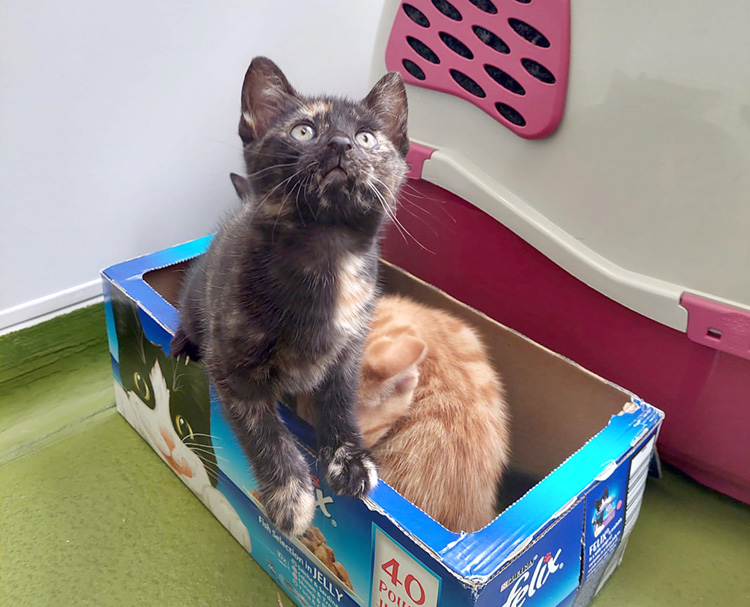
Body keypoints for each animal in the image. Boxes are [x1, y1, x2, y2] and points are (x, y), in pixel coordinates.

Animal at [172, 54, 412, 536]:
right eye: (304, 131)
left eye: (367, 137)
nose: (340, 143)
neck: (325, 254)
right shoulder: (231, 369)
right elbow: (264, 432)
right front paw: (289, 496)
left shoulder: (349, 350)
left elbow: (339, 402)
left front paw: (350, 459)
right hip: (195, 300)